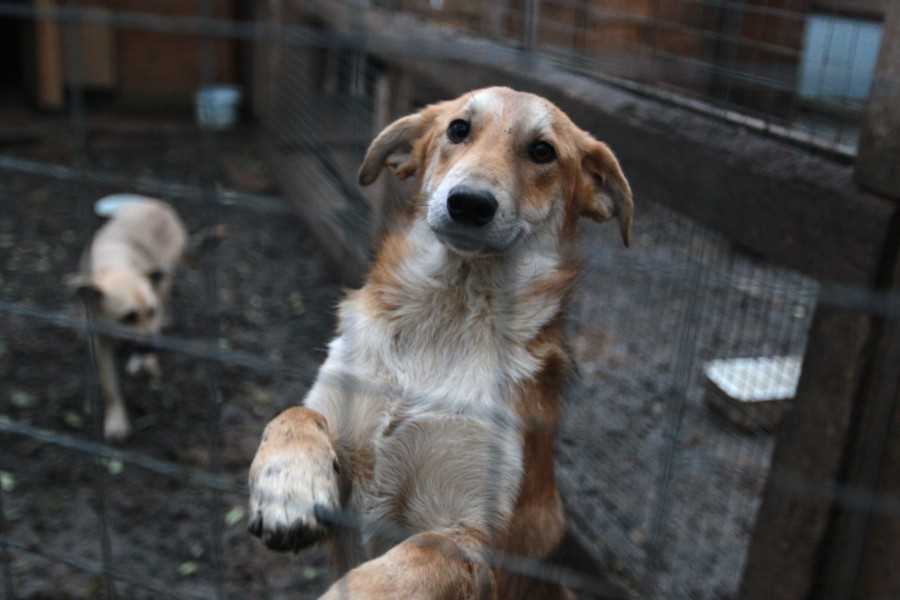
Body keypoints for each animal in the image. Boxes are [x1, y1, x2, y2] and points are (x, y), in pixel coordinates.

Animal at [71, 197, 189, 440]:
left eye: (151, 311)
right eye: (128, 317)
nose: (155, 349)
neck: (115, 266)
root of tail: (159, 205)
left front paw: (147, 363)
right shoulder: (101, 341)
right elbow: (110, 387)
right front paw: (116, 421)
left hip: (165, 278)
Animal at [243, 85, 628, 600]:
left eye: (543, 151)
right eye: (458, 128)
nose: (470, 202)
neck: (446, 318)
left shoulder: (473, 540)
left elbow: (408, 560)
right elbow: (294, 414)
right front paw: (287, 488)